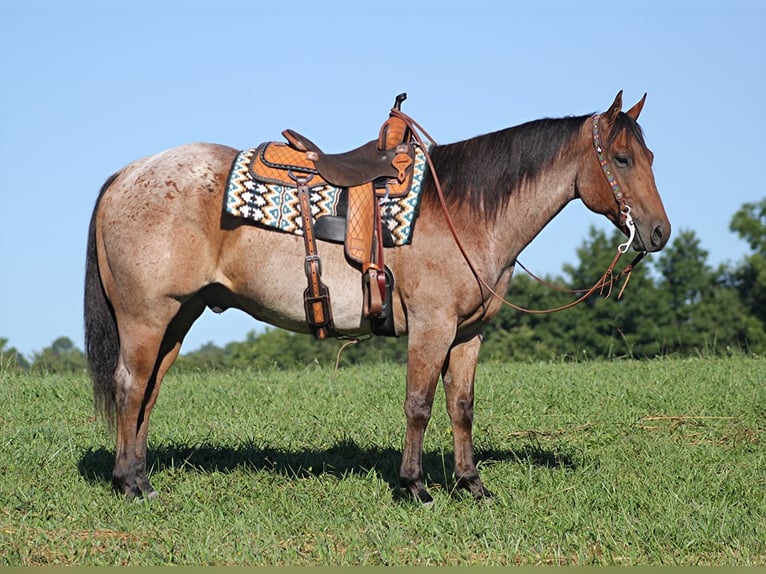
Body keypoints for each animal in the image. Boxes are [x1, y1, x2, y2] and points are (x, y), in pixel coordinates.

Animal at [85, 90, 672, 504]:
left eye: (650, 155)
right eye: (622, 159)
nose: (659, 233)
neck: (464, 210)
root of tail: (128, 174)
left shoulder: (468, 333)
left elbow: (462, 406)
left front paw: (472, 484)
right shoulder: (432, 326)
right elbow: (419, 404)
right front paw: (415, 487)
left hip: (176, 318)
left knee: (149, 393)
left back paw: (141, 477)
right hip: (147, 317)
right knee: (130, 386)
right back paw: (129, 484)